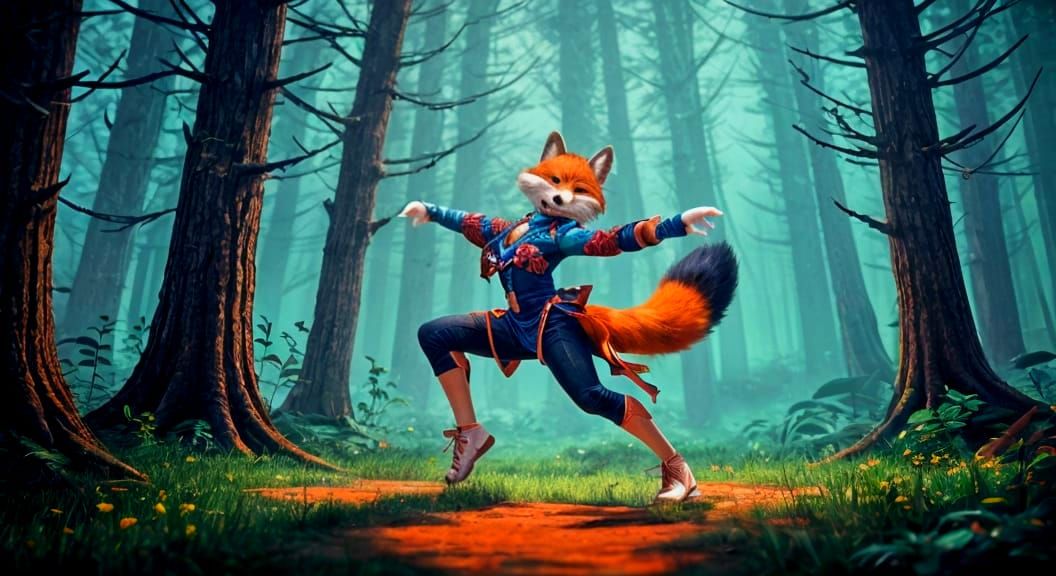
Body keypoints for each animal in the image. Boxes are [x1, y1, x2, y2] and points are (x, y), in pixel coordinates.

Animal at [402, 131, 738, 503]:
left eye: (579, 188)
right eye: (554, 180)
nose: (559, 199)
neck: (540, 224)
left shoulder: (573, 238)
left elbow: (616, 238)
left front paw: (685, 220)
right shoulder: (498, 228)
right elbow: (473, 222)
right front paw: (422, 210)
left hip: (563, 345)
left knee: (610, 400)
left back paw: (680, 481)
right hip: (501, 337)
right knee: (439, 344)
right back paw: (472, 442)